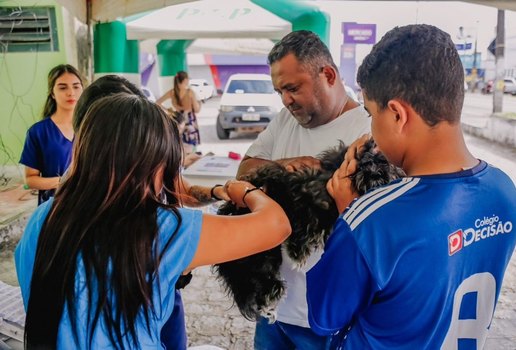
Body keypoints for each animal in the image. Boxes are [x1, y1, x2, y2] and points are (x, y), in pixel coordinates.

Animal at [212, 141, 406, 322]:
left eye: (385, 163)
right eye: (366, 162)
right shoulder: (303, 194)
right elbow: (305, 217)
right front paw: (298, 250)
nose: (375, 174)